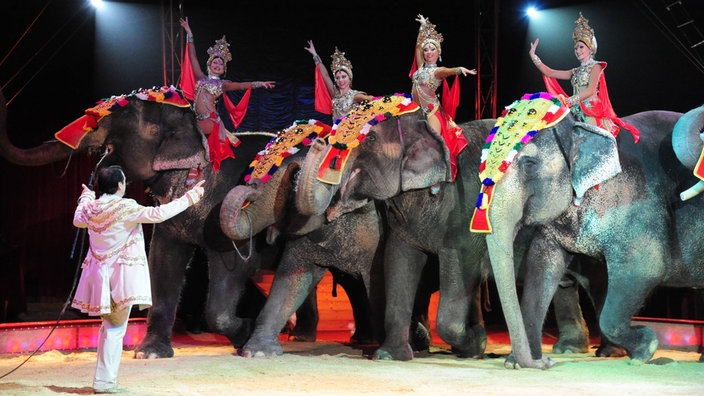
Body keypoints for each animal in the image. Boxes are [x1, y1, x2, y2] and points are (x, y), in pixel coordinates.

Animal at [0, 86, 322, 358]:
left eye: (125, 116)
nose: (5, 101)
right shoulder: (170, 222)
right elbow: (162, 260)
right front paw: (149, 353)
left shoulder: (233, 212)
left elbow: (231, 271)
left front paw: (243, 333)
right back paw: (301, 336)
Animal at [472, 92, 704, 368]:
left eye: (529, 163)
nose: (546, 362)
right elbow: (542, 267)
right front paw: (517, 363)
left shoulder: (637, 207)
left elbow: (645, 268)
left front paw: (645, 347)